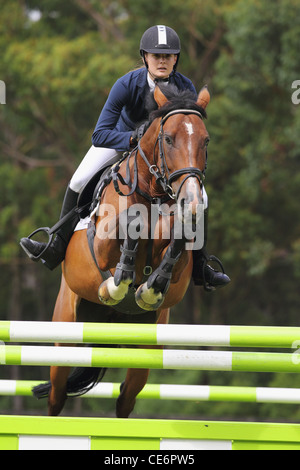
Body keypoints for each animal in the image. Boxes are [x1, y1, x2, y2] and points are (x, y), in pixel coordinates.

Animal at [32, 85, 211, 418]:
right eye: (169, 139)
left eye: (205, 140)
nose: (191, 202)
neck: (153, 195)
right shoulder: (101, 246)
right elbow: (129, 225)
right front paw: (116, 284)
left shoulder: (180, 263)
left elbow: (177, 245)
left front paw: (147, 290)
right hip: (66, 332)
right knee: (57, 396)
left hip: (146, 348)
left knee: (125, 398)